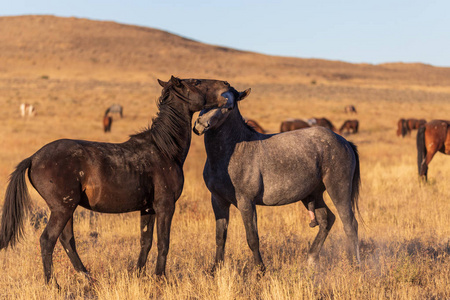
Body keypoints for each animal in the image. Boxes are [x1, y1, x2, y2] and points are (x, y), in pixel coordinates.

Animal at [0, 76, 239, 288]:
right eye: (196, 82)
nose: (226, 85)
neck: (164, 149)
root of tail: (33, 158)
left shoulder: (148, 209)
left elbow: (145, 242)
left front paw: (138, 275)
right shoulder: (165, 206)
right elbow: (163, 243)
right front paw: (160, 278)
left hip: (66, 209)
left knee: (67, 241)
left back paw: (88, 278)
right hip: (62, 209)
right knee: (47, 240)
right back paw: (54, 285)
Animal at [193, 88, 362, 274]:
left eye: (228, 107)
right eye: (206, 102)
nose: (200, 125)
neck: (232, 152)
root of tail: (345, 141)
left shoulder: (246, 202)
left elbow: (252, 238)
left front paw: (260, 270)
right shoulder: (218, 201)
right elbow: (220, 237)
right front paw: (215, 269)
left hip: (338, 189)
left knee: (350, 224)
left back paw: (355, 266)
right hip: (313, 195)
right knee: (327, 220)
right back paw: (310, 259)